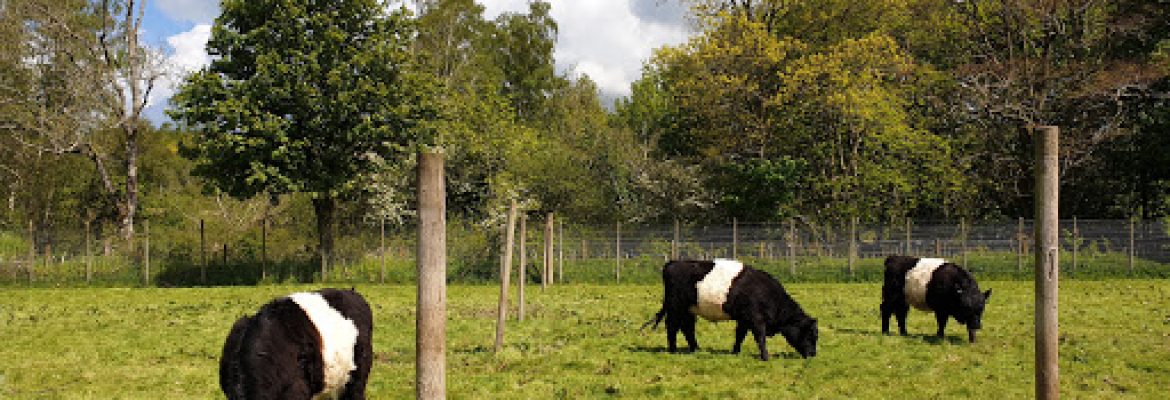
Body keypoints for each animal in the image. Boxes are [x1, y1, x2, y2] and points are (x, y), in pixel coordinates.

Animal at [645, 257, 819, 360]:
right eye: (810, 334)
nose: (813, 355)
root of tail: (672, 262)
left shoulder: (744, 319)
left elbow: (739, 335)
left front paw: (735, 352)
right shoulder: (756, 319)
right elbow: (760, 337)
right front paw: (765, 357)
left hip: (688, 309)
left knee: (687, 327)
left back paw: (696, 349)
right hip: (675, 306)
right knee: (672, 326)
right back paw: (673, 350)